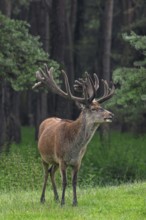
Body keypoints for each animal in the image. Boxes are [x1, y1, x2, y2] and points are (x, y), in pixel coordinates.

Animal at [32, 64, 114, 206]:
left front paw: (74, 202)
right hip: (44, 156)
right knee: (46, 174)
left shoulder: (78, 161)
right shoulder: (61, 158)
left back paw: (55, 197)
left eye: (101, 106)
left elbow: (74, 181)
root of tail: (46, 119)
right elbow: (65, 182)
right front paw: (63, 202)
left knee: (51, 172)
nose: (111, 115)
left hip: (54, 161)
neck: (74, 147)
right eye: (94, 109)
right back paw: (42, 199)